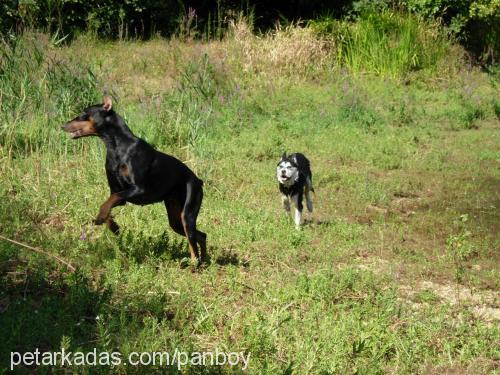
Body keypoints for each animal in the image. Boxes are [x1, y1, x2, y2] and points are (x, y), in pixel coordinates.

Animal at [63, 95, 207, 262]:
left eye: (84, 112)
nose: (63, 125)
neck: (116, 146)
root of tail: (198, 181)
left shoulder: (138, 189)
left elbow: (107, 203)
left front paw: (100, 216)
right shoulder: (118, 192)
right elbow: (109, 204)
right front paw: (113, 226)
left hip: (187, 213)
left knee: (193, 243)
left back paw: (195, 263)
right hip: (175, 220)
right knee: (202, 235)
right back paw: (205, 261)